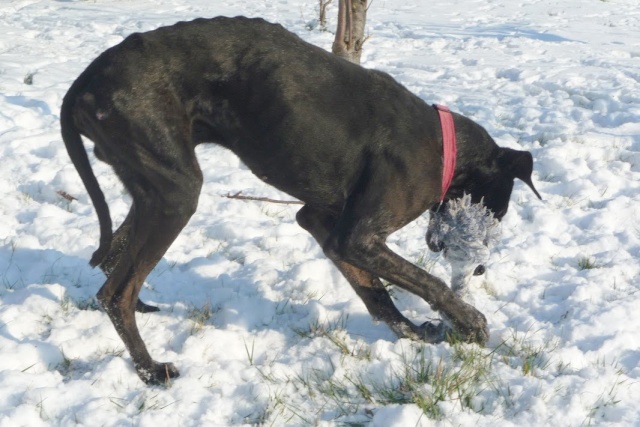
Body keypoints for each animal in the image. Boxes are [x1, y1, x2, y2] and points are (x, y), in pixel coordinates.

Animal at [61, 16, 540, 386]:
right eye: (498, 211)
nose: (479, 269)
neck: (445, 147)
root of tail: (83, 82)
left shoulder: (325, 225)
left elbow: (376, 293)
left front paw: (415, 335)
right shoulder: (358, 237)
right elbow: (427, 281)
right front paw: (471, 323)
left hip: (154, 187)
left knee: (117, 259)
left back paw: (144, 310)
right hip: (176, 193)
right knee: (114, 293)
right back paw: (150, 370)